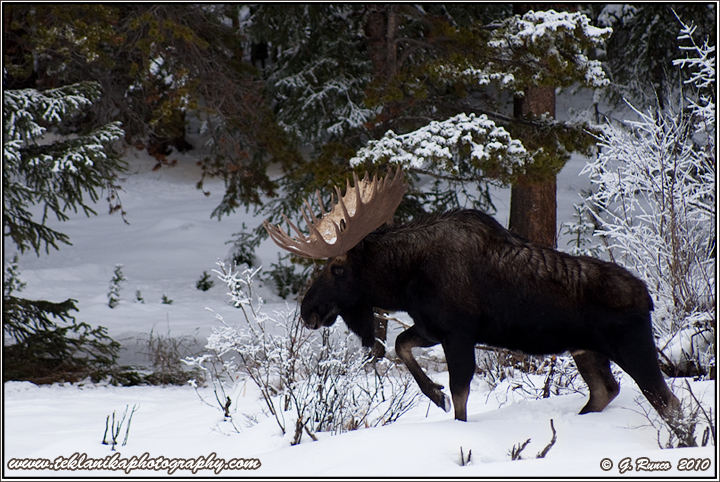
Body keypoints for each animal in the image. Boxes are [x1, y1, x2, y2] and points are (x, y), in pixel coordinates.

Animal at [263, 168, 681, 427]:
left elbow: (460, 393)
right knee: (605, 390)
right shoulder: (431, 327)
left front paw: (445, 404)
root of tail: (648, 298)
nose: (308, 310)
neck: (404, 280)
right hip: (586, 350)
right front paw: (433, 395)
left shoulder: (459, 332)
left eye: (337, 268)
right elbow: (400, 345)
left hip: (633, 348)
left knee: (670, 404)